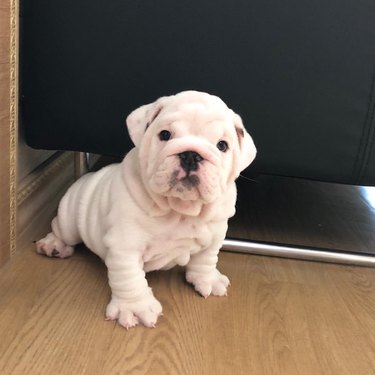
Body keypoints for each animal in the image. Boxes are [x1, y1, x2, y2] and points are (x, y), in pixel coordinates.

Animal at [36, 91, 256, 328]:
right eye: (165, 134)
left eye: (222, 146)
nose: (191, 155)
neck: (179, 210)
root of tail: (87, 178)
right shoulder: (125, 247)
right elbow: (129, 277)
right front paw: (135, 307)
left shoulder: (215, 234)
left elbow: (206, 258)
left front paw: (207, 279)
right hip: (70, 219)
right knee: (60, 229)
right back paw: (53, 245)